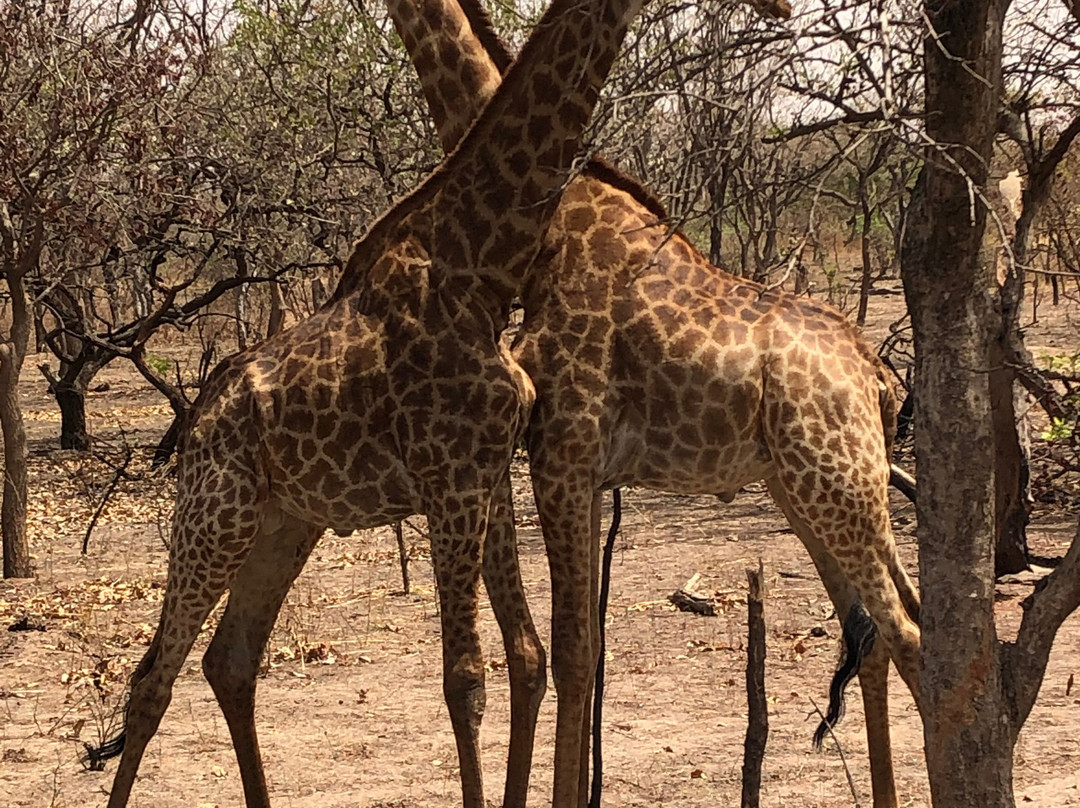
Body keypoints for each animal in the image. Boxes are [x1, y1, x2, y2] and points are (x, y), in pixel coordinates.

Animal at [88, 1, 648, 808]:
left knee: (229, 660)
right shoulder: (450, 481)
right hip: (215, 514)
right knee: (151, 680)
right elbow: (464, 680)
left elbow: (526, 654)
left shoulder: (484, 479)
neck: (478, 271)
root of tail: (198, 419)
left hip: (285, 524)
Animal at [388, 1, 920, 808]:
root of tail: (879, 378)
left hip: (841, 489)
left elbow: (576, 653)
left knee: (908, 634)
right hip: (813, 490)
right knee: (881, 632)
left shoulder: (562, 455)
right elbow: (584, 652)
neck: (554, 228)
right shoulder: (569, 466)